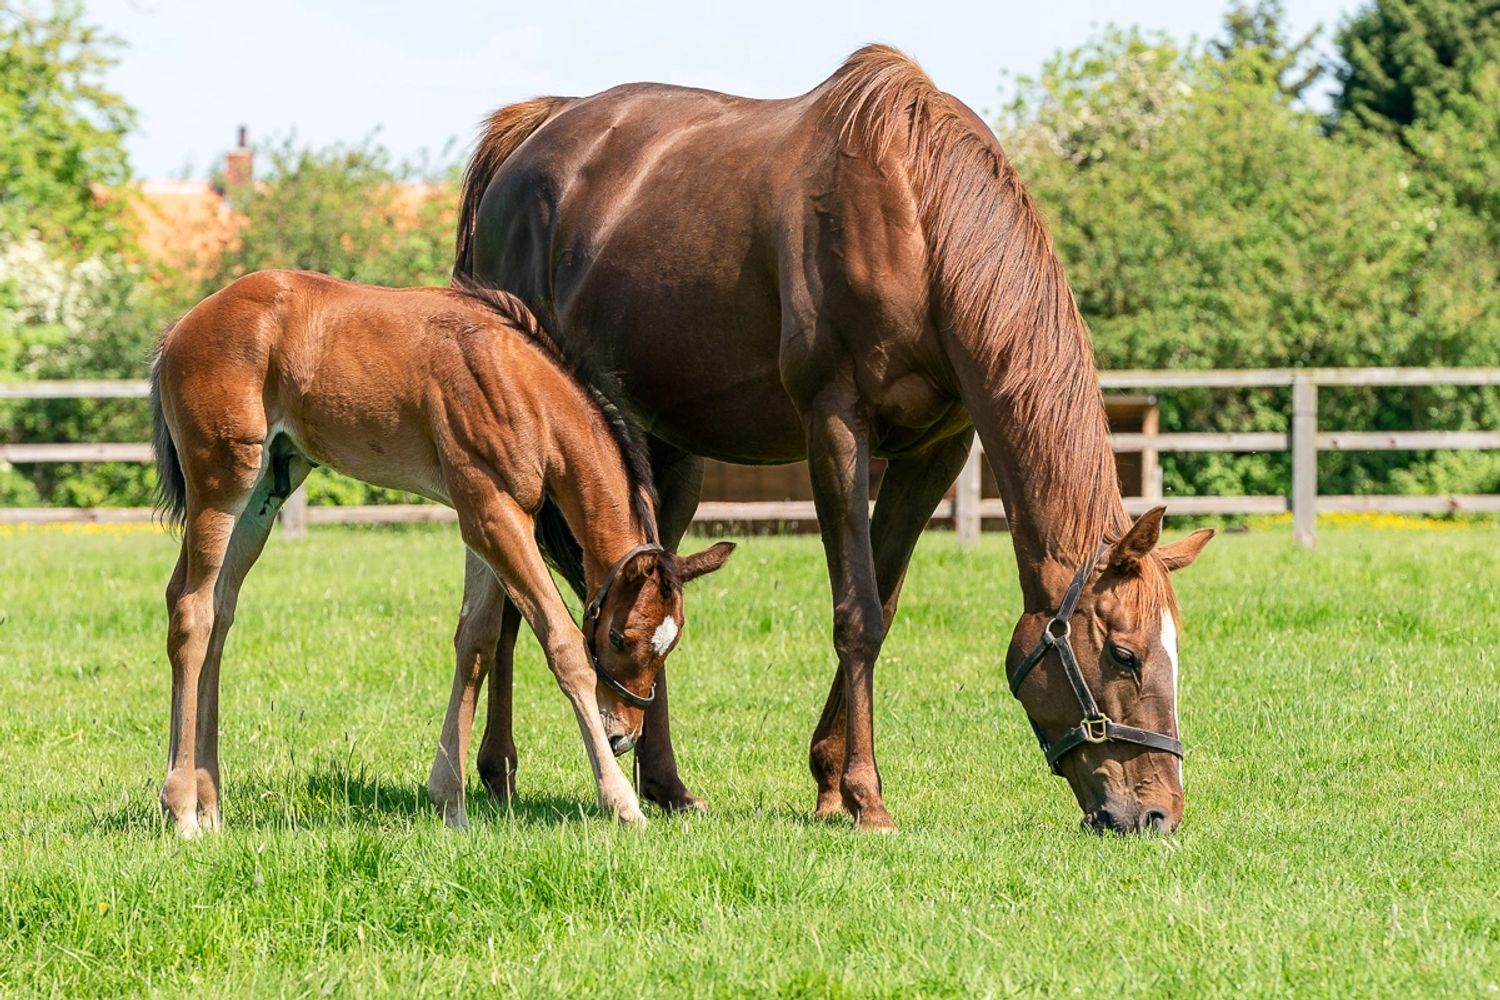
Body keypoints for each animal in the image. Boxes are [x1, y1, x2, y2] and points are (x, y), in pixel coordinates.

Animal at [150, 268, 732, 839]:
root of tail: (180, 329)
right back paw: (182, 810)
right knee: (193, 613)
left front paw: (451, 803)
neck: (523, 389)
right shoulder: (492, 514)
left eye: (669, 646)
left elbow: (476, 641)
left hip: (265, 493)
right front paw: (622, 803)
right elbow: (563, 644)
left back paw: (210, 805)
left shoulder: (486, 518)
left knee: (217, 612)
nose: (623, 737)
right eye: (618, 638)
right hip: (223, 482)